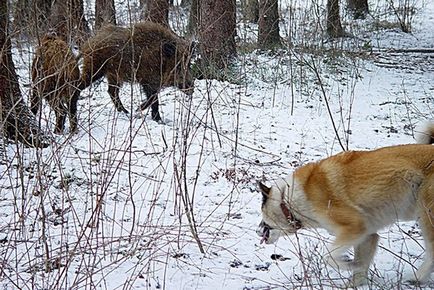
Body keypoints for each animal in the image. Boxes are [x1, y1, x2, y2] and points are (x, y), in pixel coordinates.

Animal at [258, 123, 434, 286]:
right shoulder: (367, 235)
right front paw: (355, 280)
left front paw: (349, 265)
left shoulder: (354, 226)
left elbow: (328, 256)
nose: (257, 231)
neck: (287, 200)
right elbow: (361, 268)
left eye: (262, 215)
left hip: (426, 215)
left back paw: (417, 278)